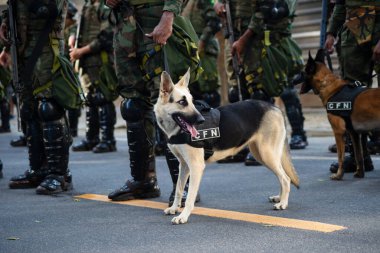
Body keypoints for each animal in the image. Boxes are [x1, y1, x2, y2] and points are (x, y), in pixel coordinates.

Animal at [154, 69, 300, 225]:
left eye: (192, 102)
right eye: (182, 102)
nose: (201, 120)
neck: (175, 129)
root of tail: (275, 108)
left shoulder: (195, 166)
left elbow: (189, 197)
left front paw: (183, 216)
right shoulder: (183, 165)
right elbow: (179, 189)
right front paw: (174, 208)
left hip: (267, 155)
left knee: (285, 178)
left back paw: (283, 203)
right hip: (262, 156)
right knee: (281, 176)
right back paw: (280, 198)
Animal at [300, 49, 380, 180]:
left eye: (302, 72)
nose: (290, 80)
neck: (328, 84)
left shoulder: (338, 132)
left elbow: (340, 156)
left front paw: (338, 175)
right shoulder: (353, 133)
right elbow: (358, 155)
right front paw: (360, 173)